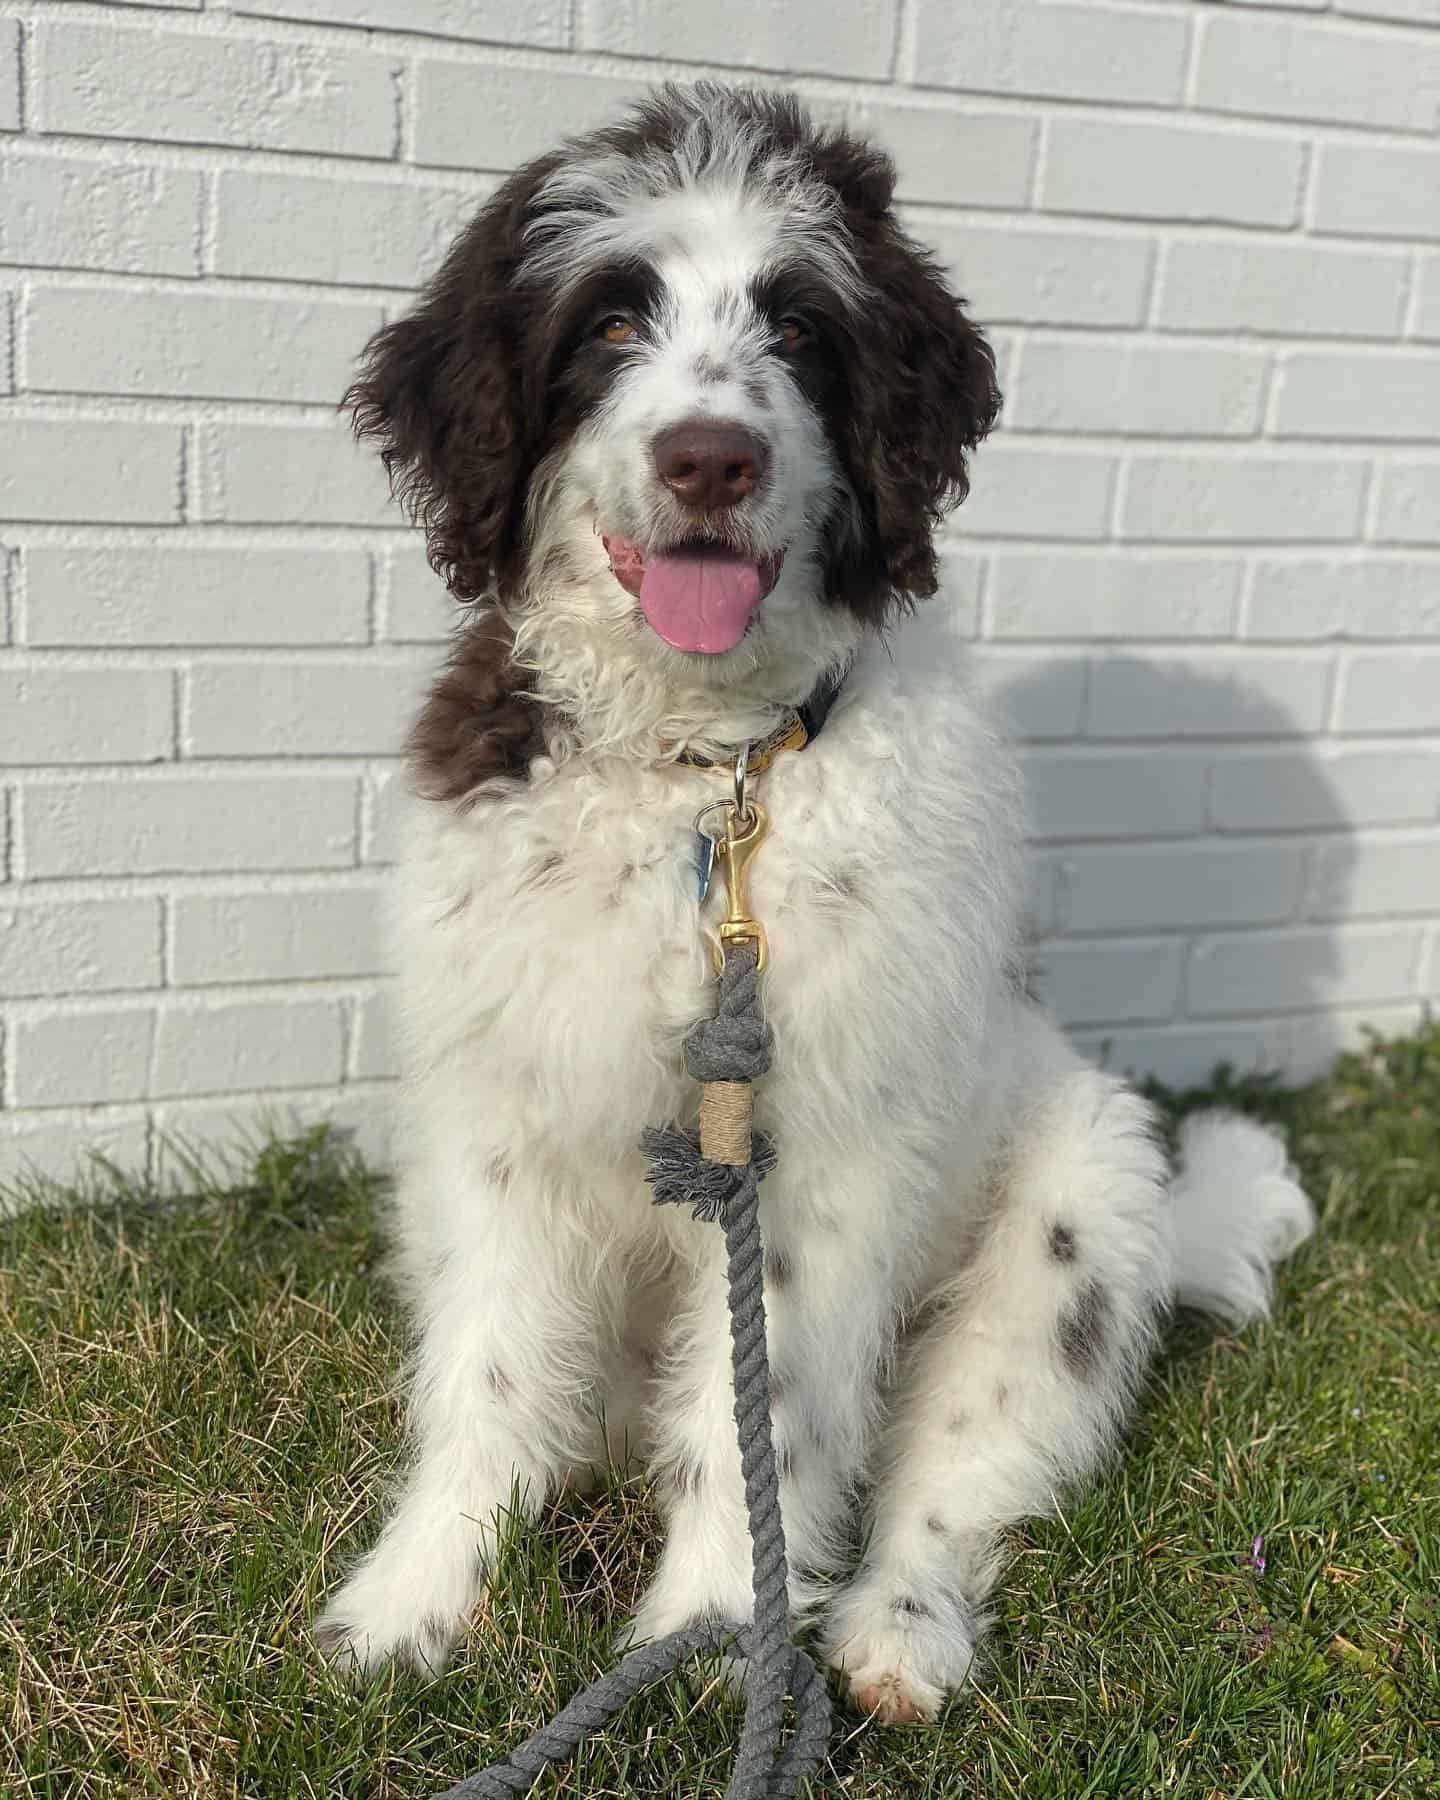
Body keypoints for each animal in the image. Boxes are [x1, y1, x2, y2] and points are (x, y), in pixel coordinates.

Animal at [315, 87, 1317, 1728]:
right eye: (609, 322)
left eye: (797, 326)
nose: (710, 459)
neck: (705, 778)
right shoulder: (496, 1117)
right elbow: (488, 1379)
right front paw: (414, 1605)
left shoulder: (819, 1162)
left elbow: (767, 1416)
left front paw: (718, 1635)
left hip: (1078, 1223)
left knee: (960, 1475)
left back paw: (900, 1635)